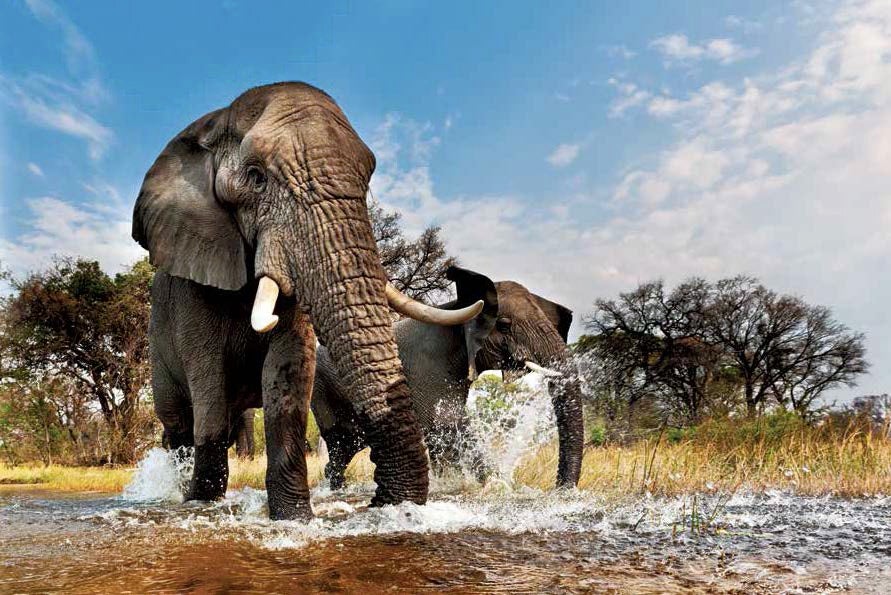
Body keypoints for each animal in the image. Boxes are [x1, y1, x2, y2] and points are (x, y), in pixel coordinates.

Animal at [132, 84, 480, 520]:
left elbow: (289, 378)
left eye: (367, 179)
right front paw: (201, 503)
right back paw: (181, 490)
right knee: (182, 426)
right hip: (158, 355)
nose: (381, 500)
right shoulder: (192, 285)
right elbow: (208, 392)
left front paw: (293, 517)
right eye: (256, 178)